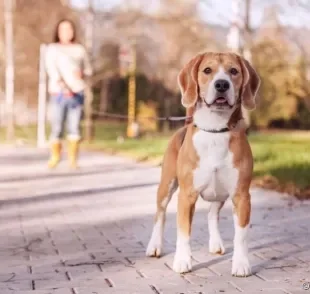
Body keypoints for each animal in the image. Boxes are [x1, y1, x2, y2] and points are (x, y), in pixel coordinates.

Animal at [145, 51, 260, 276]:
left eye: (234, 71)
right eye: (207, 70)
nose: (222, 84)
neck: (215, 130)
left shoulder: (242, 195)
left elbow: (241, 235)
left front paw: (241, 263)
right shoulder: (186, 196)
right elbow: (183, 233)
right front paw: (182, 261)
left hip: (220, 193)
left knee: (212, 214)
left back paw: (215, 243)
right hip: (166, 186)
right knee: (159, 216)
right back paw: (154, 246)